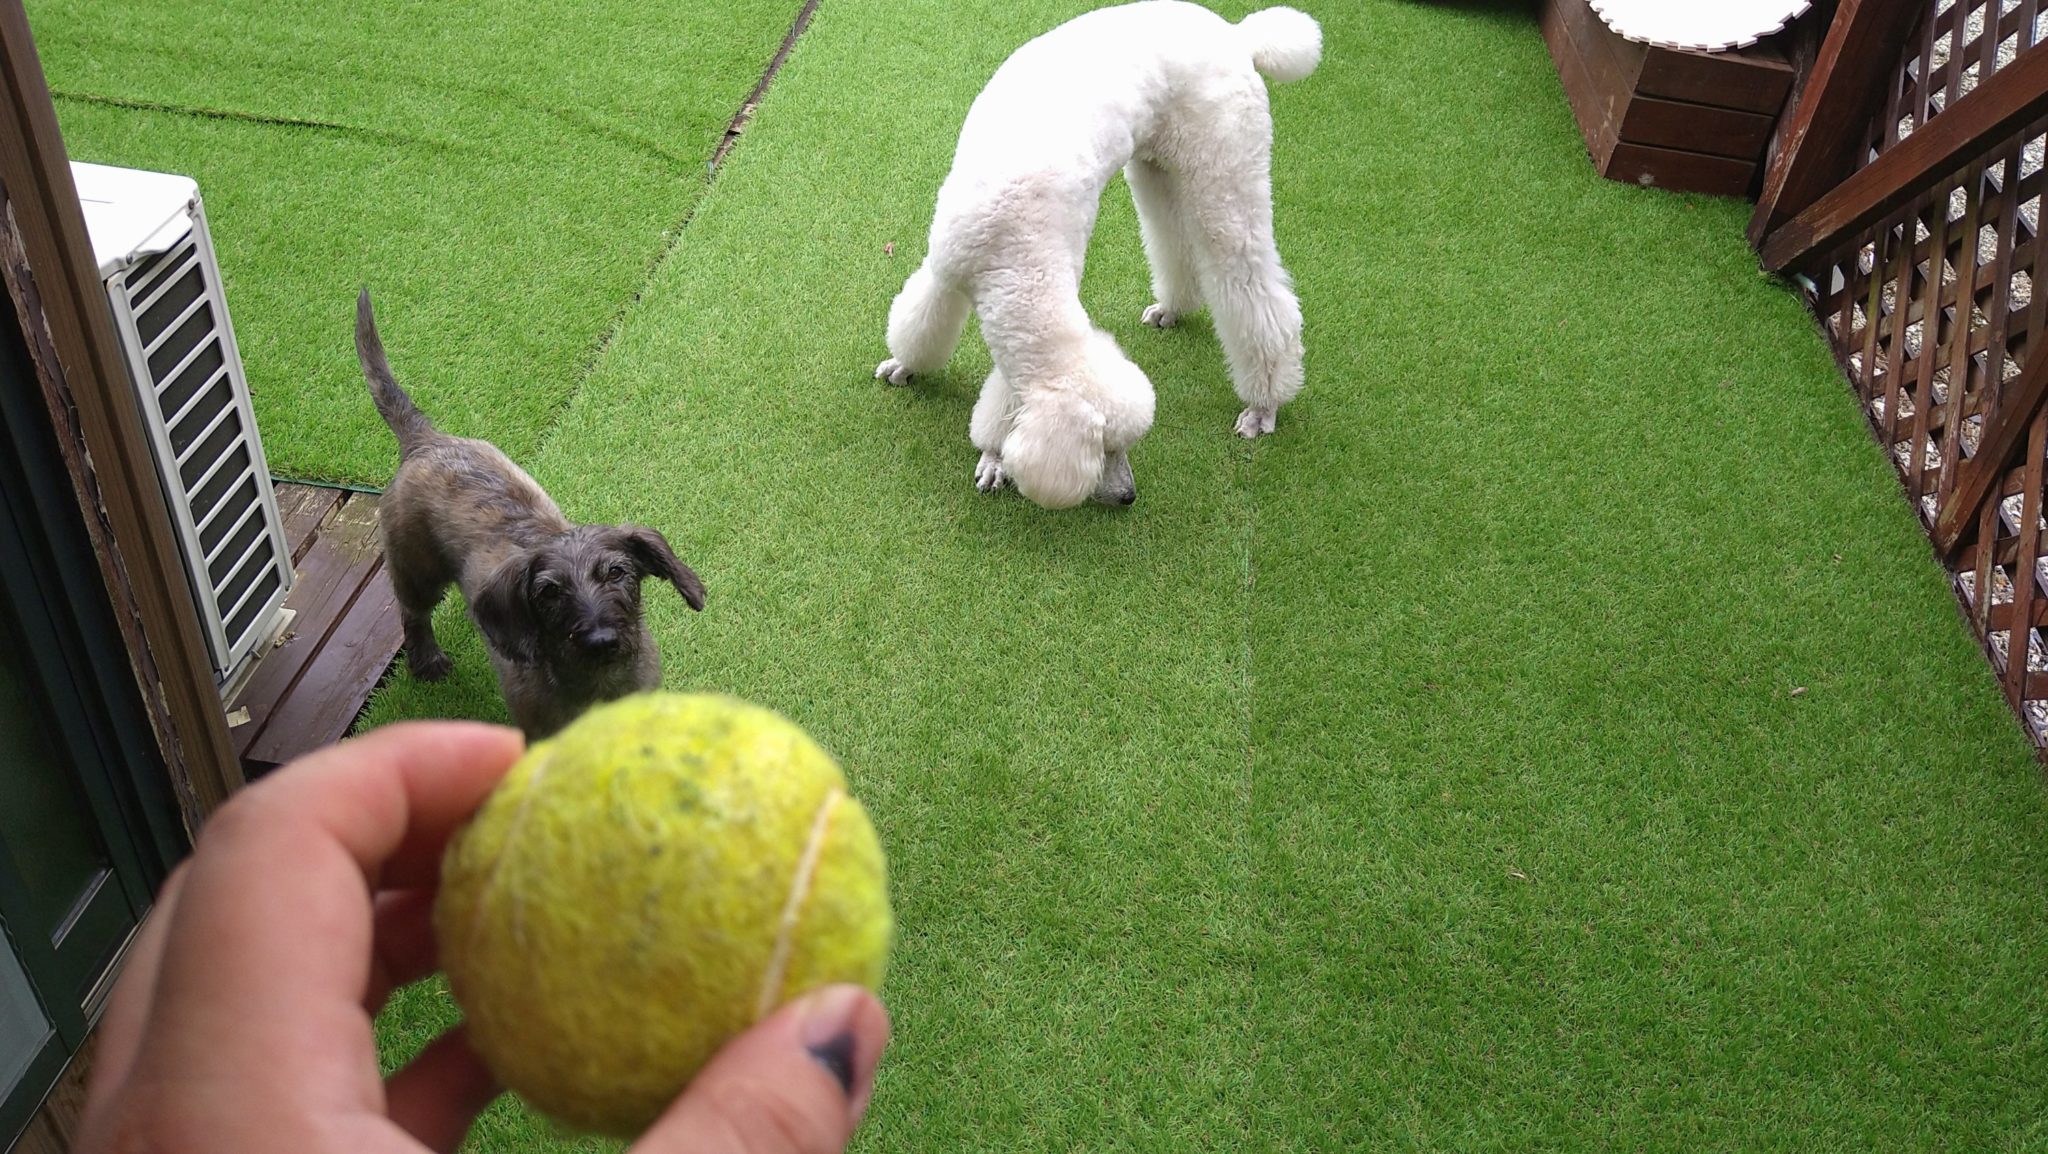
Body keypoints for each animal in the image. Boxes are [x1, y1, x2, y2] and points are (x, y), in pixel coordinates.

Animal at [356, 289, 705, 739]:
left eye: (617, 572)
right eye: (548, 592)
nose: (601, 640)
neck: (598, 686)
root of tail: (426, 439)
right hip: (418, 571)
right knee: (413, 613)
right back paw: (427, 660)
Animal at [875, 1, 1320, 509]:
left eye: (1121, 448)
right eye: (1106, 449)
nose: (1129, 496)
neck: (1011, 246)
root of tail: (1238, 36)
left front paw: (994, 456)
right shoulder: (946, 266)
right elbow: (921, 322)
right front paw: (906, 367)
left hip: (1225, 168)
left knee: (1250, 285)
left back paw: (1263, 404)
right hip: (1160, 167)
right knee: (1175, 240)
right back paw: (1173, 308)